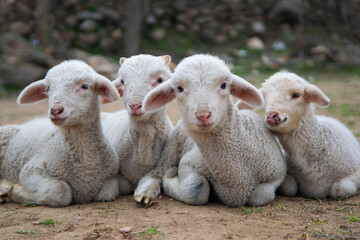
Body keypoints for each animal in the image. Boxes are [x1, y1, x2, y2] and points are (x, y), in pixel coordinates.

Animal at [0, 59, 121, 206]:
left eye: (85, 86)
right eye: (47, 88)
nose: (55, 110)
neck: (86, 169)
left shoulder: (111, 178)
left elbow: (109, 192)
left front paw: (13, 190)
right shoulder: (31, 170)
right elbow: (61, 190)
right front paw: (16, 190)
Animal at [136, 54, 286, 206]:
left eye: (224, 85)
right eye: (179, 88)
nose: (203, 114)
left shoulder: (276, 174)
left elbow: (260, 196)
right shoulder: (188, 163)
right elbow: (196, 189)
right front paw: (170, 178)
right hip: (172, 145)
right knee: (157, 172)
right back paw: (145, 192)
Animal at [258, 71, 360, 199]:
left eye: (296, 95)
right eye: (265, 97)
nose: (271, 116)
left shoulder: (356, 172)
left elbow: (340, 189)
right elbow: (290, 188)